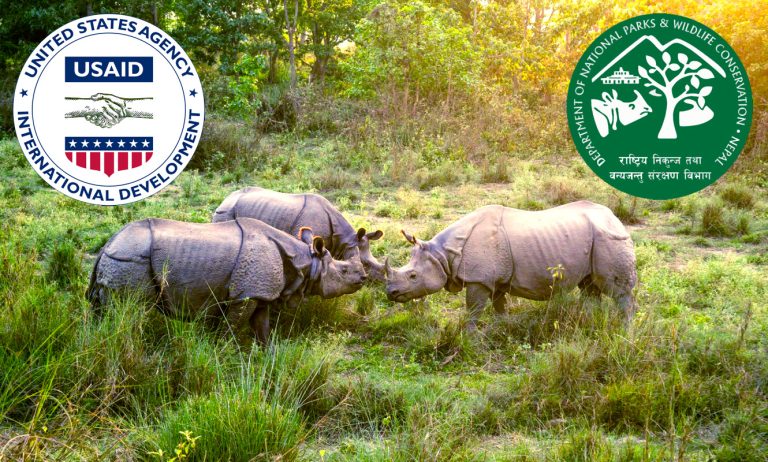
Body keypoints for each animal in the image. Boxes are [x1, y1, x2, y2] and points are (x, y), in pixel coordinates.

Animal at [86, 217, 367, 343]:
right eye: (343, 271)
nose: (363, 278)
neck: (305, 261)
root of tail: (109, 244)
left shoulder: (260, 293)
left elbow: (262, 327)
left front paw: (267, 354)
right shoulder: (245, 295)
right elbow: (231, 328)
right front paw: (221, 352)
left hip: (118, 259)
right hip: (128, 260)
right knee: (130, 310)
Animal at [385, 201, 637, 328]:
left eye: (413, 276)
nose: (390, 293)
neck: (442, 255)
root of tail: (615, 218)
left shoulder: (479, 280)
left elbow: (473, 310)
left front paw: (469, 336)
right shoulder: (495, 279)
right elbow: (499, 305)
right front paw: (502, 328)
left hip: (609, 238)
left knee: (617, 290)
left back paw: (625, 332)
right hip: (596, 238)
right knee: (589, 287)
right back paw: (588, 324)